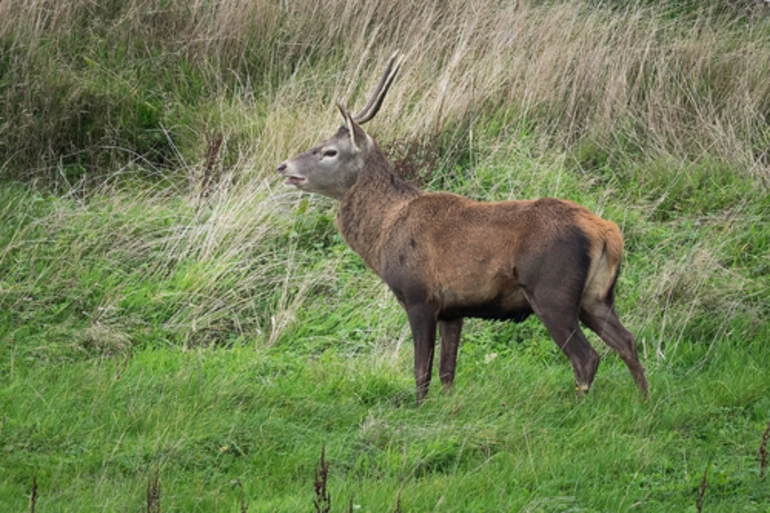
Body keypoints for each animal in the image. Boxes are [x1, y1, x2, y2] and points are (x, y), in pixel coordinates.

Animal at [276, 54, 648, 402]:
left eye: (329, 151)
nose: (283, 166)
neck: (383, 235)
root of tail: (608, 233)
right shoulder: (453, 309)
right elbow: (447, 371)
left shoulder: (419, 295)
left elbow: (421, 370)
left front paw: (418, 409)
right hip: (596, 295)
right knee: (627, 341)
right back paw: (645, 401)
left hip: (552, 290)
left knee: (586, 357)